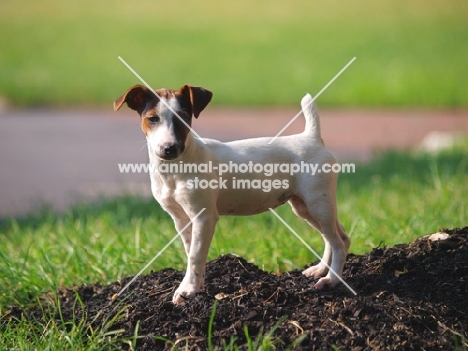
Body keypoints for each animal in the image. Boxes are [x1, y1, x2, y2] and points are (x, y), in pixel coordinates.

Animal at [113, 85, 350, 306]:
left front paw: (187, 290)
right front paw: (194, 285)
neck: (176, 169)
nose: (169, 148)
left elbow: (195, 255)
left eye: (183, 116)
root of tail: (312, 137)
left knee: (338, 242)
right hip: (305, 207)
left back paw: (331, 280)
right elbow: (192, 253)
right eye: (152, 118)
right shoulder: (180, 219)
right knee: (337, 237)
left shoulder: (204, 217)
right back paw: (320, 269)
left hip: (318, 204)